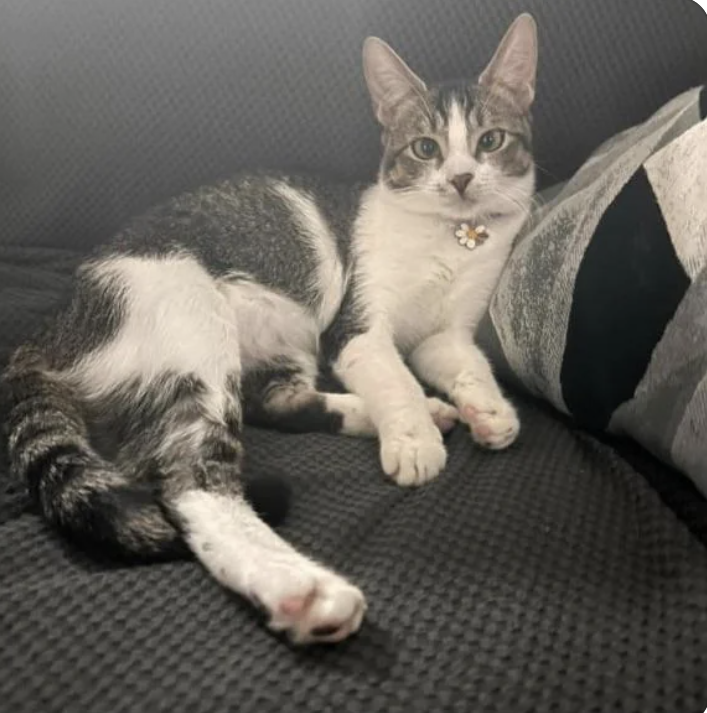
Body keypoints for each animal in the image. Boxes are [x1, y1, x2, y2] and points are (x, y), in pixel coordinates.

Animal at [4, 13, 536, 644]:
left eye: (490, 141)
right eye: (425, 148)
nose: (459, 179)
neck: (452, 239)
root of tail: (55, 322)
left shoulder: (445, 334)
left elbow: (465, 363)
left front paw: (488, 410)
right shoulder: (355, 329)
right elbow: (393, 377)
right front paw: (413, 439)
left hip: (278, 342)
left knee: (275, 402)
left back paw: (413, 412)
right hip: (192, 326)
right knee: (190, 480)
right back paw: (302, 590)